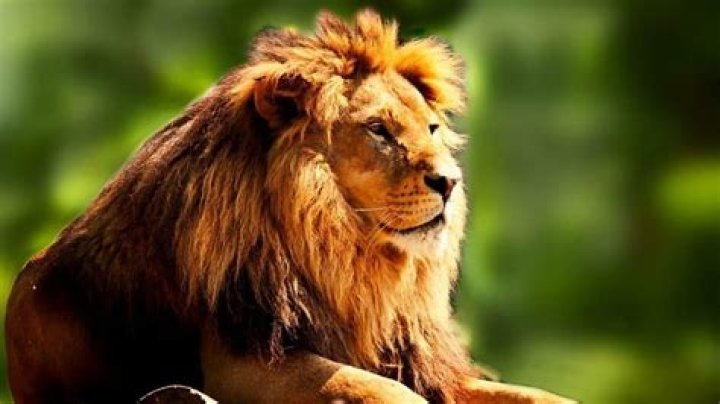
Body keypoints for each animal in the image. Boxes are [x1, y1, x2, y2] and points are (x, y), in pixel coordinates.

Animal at [6, 9, 573, 404]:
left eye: (431, 129)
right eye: (378, 130)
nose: (450, 182)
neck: (347, 257)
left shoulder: (420, 360)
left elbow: (536, 396)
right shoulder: (241, 358)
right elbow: (379, 390)